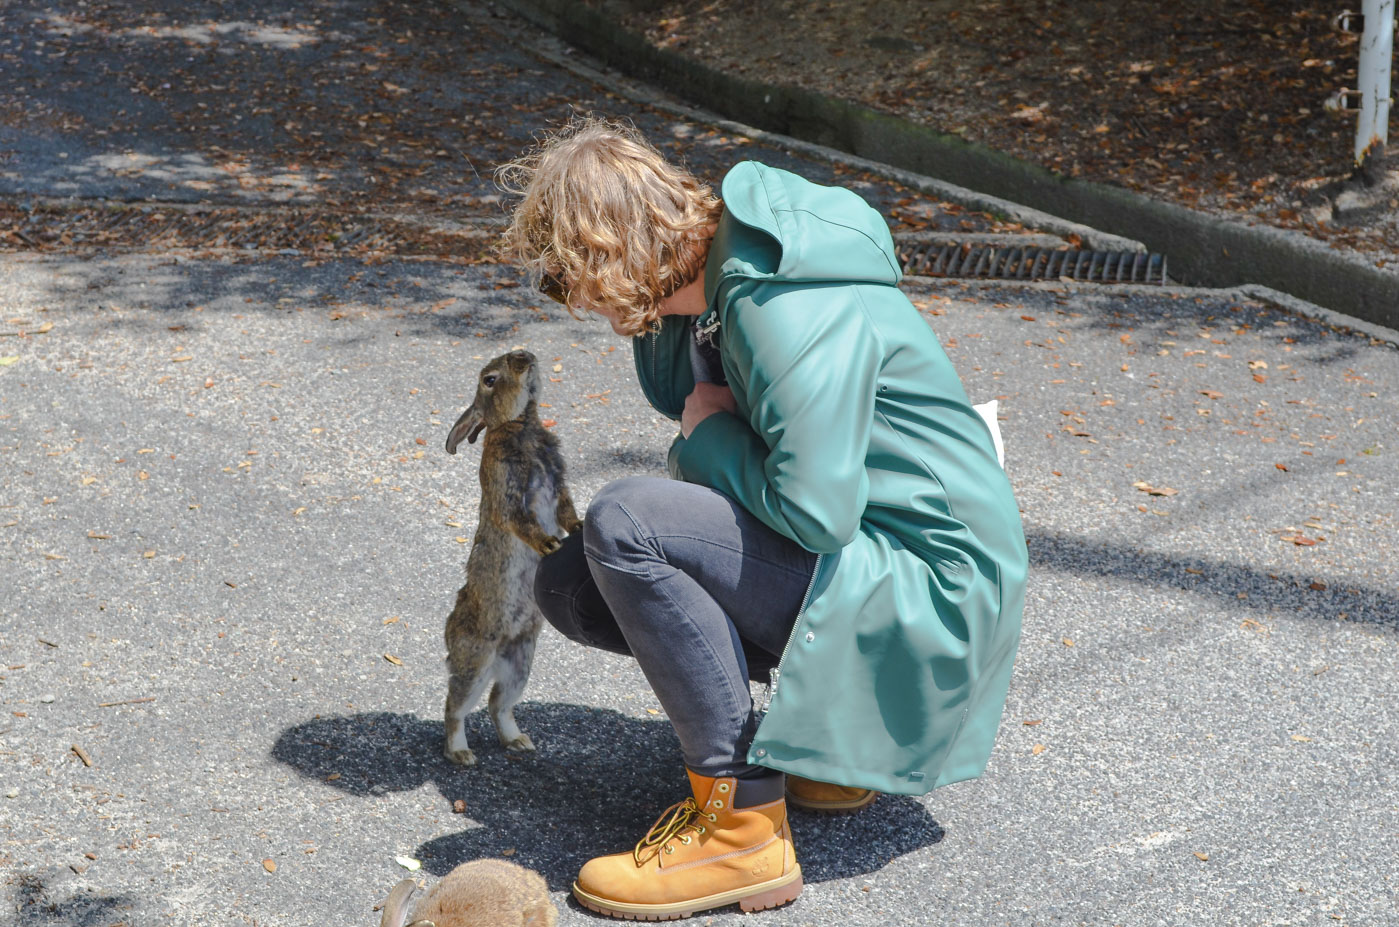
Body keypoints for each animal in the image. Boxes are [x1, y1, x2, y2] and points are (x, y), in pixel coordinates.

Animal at [444, 349, 581, 766]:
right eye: (489, 380)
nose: (525, 357)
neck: (520, 424)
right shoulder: (508, 491)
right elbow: (518, 520)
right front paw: (550, 545)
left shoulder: (559, 486)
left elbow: (566, 510)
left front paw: (579, 528)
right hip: (477, 659)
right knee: (456, 706)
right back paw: (461, 753)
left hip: (521, 662)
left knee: (498, 704)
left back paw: (518, 742)